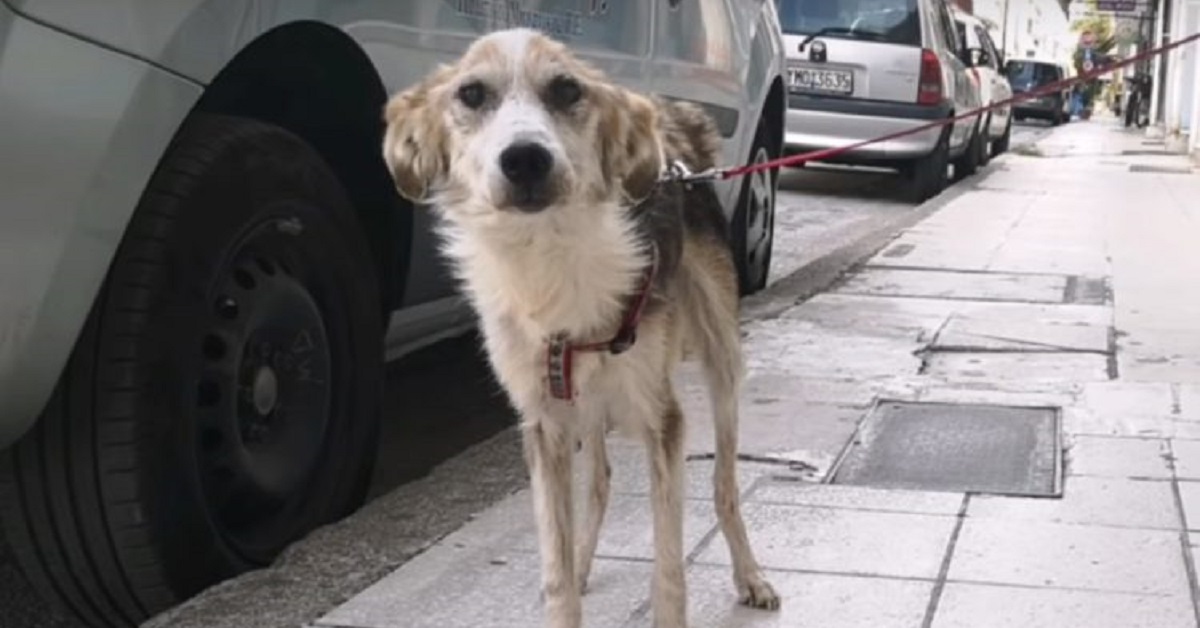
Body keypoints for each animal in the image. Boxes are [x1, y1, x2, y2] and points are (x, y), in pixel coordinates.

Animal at [381, 27, 777, 624]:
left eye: (567, 89)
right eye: (471, 94)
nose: (525, 159)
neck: (547, 255)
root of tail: (671, 119)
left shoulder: (662, 417)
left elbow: (669, 571)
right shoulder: (544, 424)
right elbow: (556, 569)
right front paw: (570, 577)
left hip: (721, 359)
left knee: (724, 483)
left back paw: (750, 576)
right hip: (583, 403)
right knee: (601, 482)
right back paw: (588, 559)